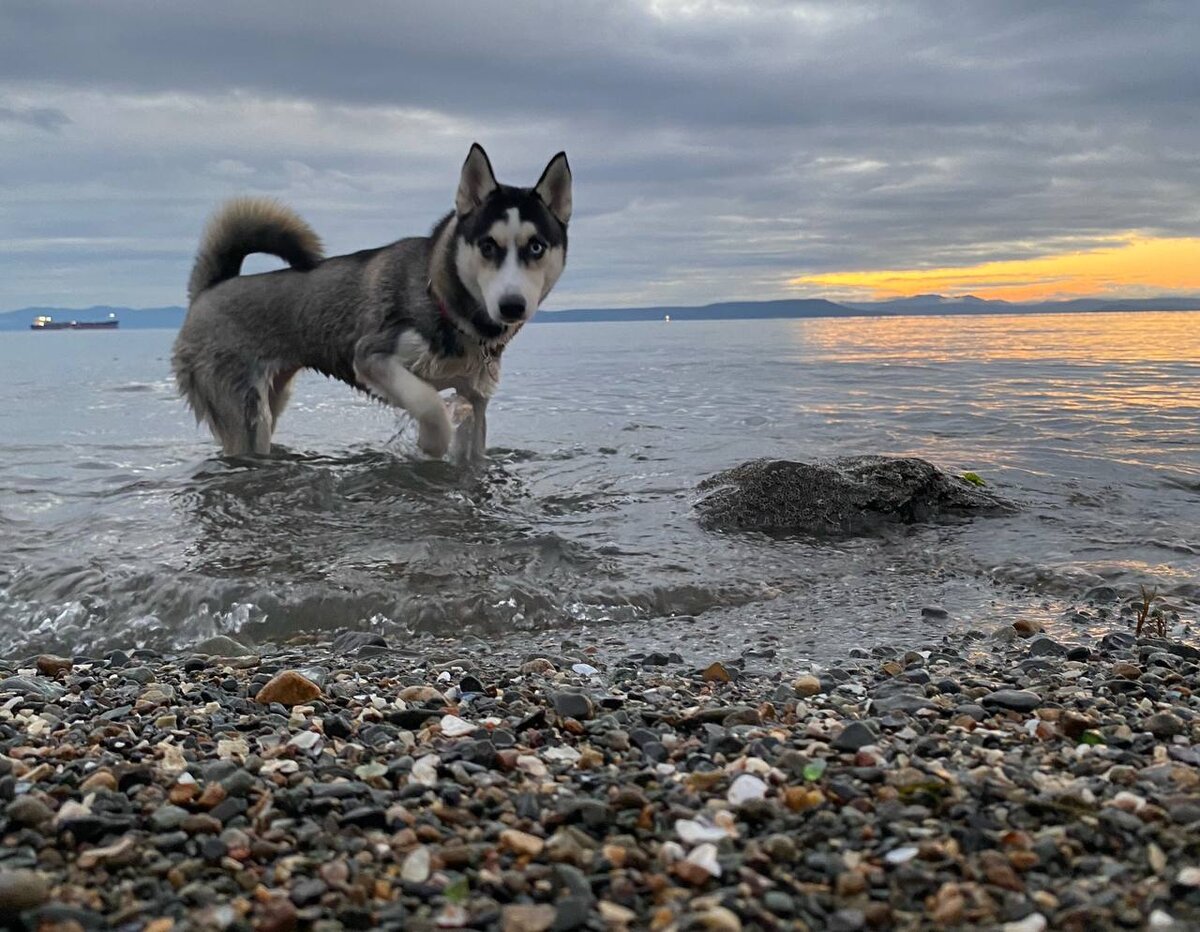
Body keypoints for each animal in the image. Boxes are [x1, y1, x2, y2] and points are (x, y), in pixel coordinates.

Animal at [170, 143, 576, 460]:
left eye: (536, 247)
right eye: (488, 245)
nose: (512, 306)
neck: (441, 299)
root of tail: (209, 289)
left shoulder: (474, 395)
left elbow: (473, 449)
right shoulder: (371, 356)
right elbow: (429, 404)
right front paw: (431, 444)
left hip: (274, 396)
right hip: (246, 414)